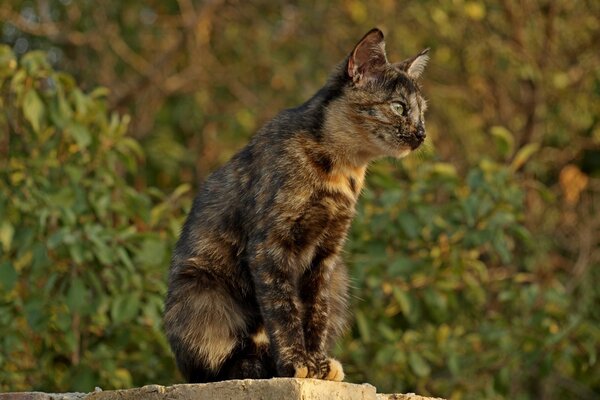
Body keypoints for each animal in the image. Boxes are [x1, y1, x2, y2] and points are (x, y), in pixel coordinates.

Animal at [162, 26, 428, 382]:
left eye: (423, 111)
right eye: (399, 107)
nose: (422, 134)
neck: (342, 171)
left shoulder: (325, 255)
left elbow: (315, 312)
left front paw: (316, 364)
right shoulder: (270, 245)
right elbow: (283, 308)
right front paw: (294, 364)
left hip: (340, 278)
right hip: (203, 293)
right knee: (211, 365)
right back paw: (254, 365)